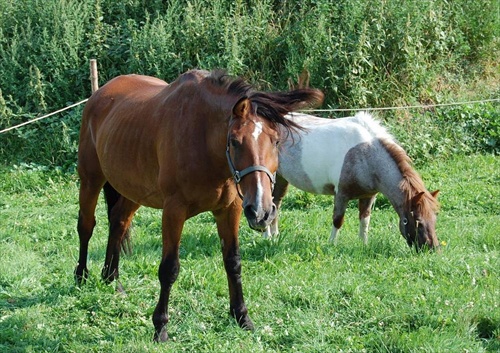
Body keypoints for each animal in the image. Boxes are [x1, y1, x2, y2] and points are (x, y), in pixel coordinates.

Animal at [74, 69, 324, 340]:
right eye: (235, 141)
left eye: (276, 141)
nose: (261, 211)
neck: (203, 140)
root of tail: (100, 94)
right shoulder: (173, 211)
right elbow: (169, 268)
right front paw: (160, 327)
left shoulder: (230, 210)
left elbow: (233, 262)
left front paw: (241, 316)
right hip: (90, 180)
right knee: (86, 226)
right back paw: (81, 277)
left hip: (132, 190)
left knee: (118, 223)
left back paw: (112, 280)